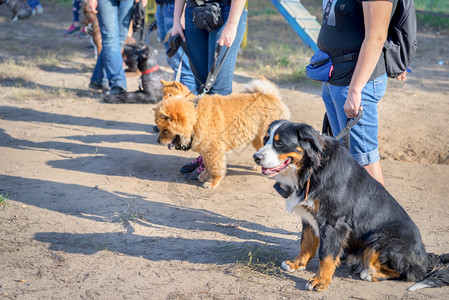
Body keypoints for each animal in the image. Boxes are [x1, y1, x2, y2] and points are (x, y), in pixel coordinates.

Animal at [152, 78, 288, 189]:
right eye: (159, 128)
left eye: (165, 130)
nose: (157, 141)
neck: (195, 117)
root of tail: (270, 95)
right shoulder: (206, 151)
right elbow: (207, 165)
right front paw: (203, 176)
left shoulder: (214, 151)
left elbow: (215, 168)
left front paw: (212, 183)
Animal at [254, 120, 446, 292]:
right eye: (265, 139)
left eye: (279, 143)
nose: (256, 157)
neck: (312, 169)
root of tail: (425, 257)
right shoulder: (309, 217)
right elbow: (306, 243)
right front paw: (297, 263)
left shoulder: (333, 222)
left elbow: (326, 255)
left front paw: (320, 281)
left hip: (380, 241)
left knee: (412, 273)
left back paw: (370, 273)